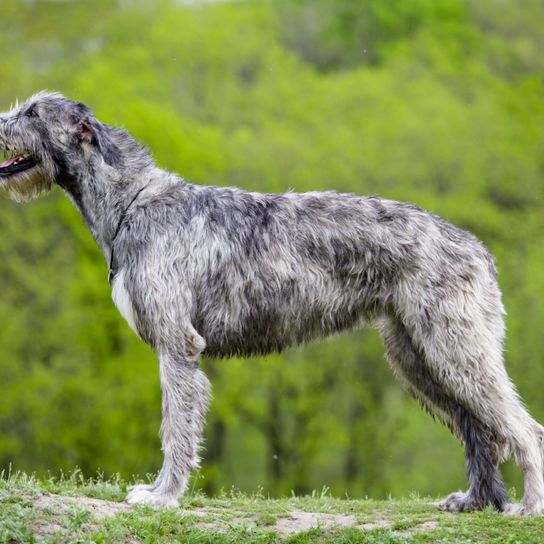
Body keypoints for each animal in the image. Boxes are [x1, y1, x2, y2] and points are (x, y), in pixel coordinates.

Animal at [1, 92, 544, 516]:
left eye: (32, 112)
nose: (0, 124)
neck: (133, 202)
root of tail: (477, 248)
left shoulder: (178, 345)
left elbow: (175, 425)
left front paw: (162, 496)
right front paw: (160, 492)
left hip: (455, 347)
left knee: (524, 429)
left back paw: (527, 507)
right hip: (417, 356)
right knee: (480, 429)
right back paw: (475, 501)